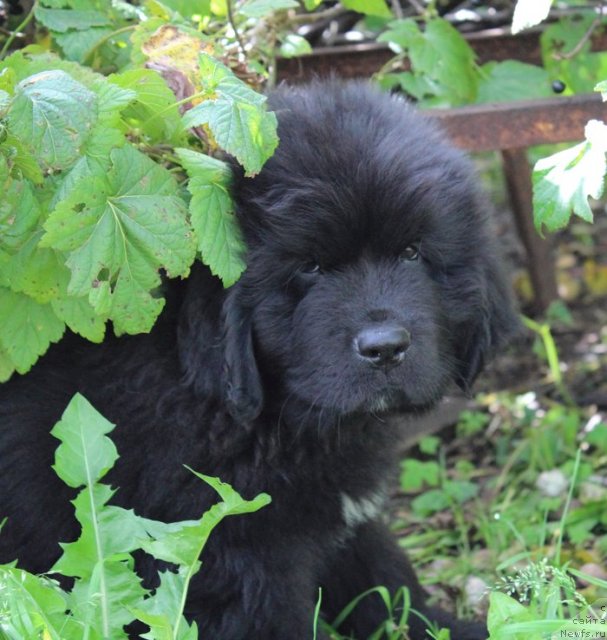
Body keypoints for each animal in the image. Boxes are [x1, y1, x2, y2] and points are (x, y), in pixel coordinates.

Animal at [0, 82, 516, 636]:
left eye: (412, 253)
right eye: (311, 267)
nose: (385, 347)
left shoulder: (341, 518)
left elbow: (386, 577)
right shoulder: (232, 558)